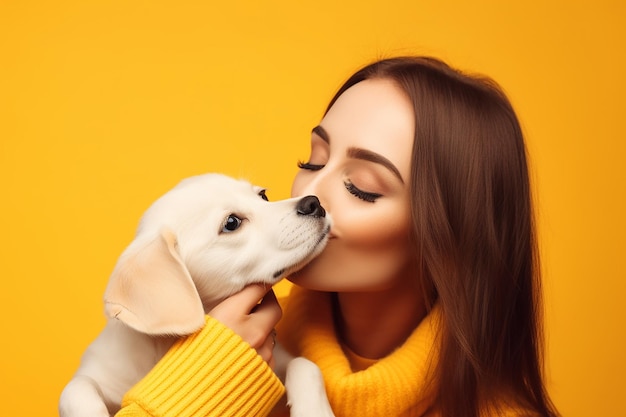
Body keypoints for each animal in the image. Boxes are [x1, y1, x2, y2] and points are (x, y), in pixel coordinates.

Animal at [59, 173, 332, 416]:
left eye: (263, 195)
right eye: (231, 223)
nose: (314, 203)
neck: (161, 348)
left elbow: (305, 364)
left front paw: (315, 410)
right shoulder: (96, 372)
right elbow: (75, 388)